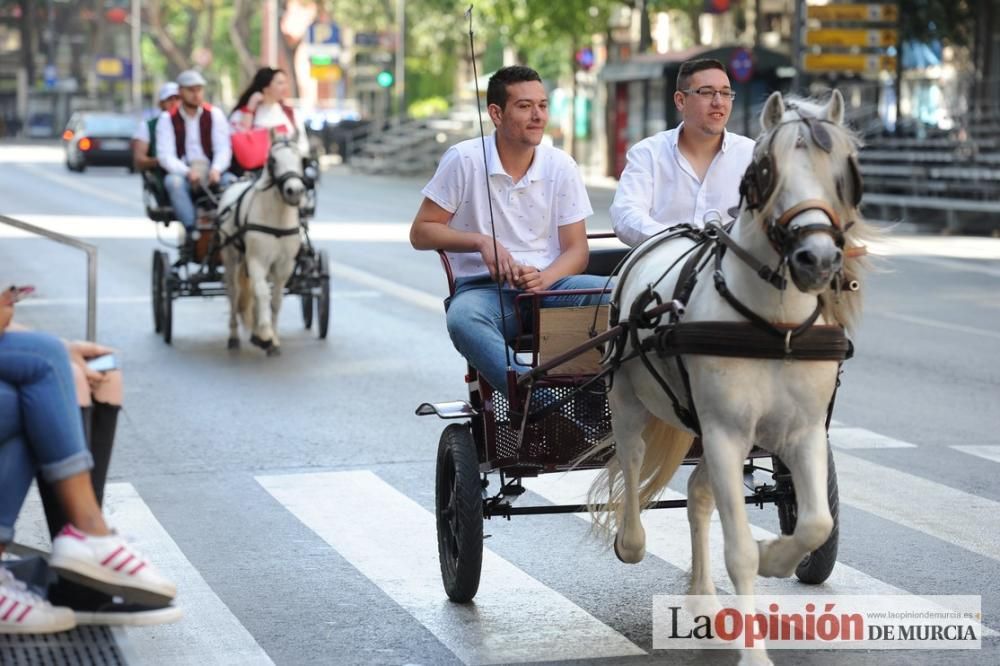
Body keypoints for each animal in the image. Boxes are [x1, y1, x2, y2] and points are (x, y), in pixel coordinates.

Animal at [220, 131, 306, 358]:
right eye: (273, 160)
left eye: (301, 159)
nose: (294, 191)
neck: (277, 218)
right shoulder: (256, 260)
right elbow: (262, 294)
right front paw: (266, 334)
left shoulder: (284, 265)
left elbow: (275, 300)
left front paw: (272, 339)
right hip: (231, 256)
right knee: (234, 293)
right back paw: (234, 336)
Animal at [588, 89, 872, 664]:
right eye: (765, 170)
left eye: (844, 171)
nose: (817, 258)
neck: (774, 325)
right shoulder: (724, 432)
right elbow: (738, 548)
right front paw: (756, 651)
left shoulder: (804, 433)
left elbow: (815, 522)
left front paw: (776, 558)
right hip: (628, 397)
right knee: (631, 460)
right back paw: (632, 542)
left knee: (699, 494)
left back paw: (702, 599)